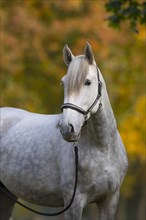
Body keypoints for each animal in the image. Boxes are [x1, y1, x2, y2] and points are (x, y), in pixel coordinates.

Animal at [0, 42, 128, 219]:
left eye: (87, 82)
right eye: (63, 83)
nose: (67, 128)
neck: (103, 150)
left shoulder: (110, 201)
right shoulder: (74, 202)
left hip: (8, 195)